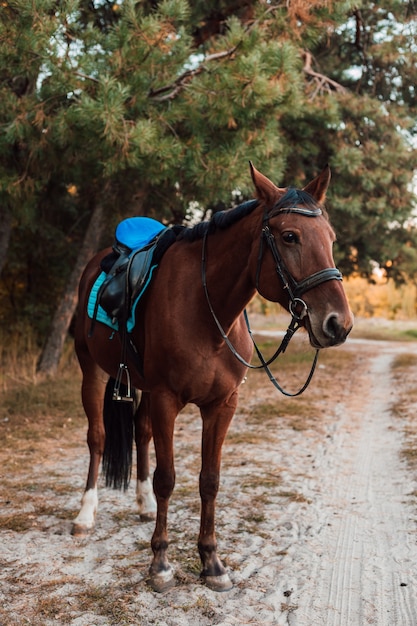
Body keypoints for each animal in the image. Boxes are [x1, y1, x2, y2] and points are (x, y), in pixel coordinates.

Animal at [71, 161, 352, 588]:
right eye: (290, 236)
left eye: (331, 238)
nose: (339, 324)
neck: (207, 311)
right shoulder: (167, 400)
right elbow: (168, 478)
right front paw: (160, 564)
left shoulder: (221, 405)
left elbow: (210, 480)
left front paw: (211, 562)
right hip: (93, 372)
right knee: (98, 438)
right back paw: (86, 513)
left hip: (143, 387)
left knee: (140, 432)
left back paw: (143, 504)